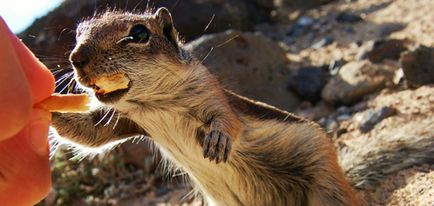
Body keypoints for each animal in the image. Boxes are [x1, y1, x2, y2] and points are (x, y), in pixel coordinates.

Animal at [51, 7, 362, 205]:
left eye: (139, 33)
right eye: (79, 32)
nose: (76, 58)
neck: (153, 104)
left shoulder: (210, 92)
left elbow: (228, 120)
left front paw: (218, 139)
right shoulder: (125, 119)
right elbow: (90, 133)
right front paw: (48, 108)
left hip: (326, 183)